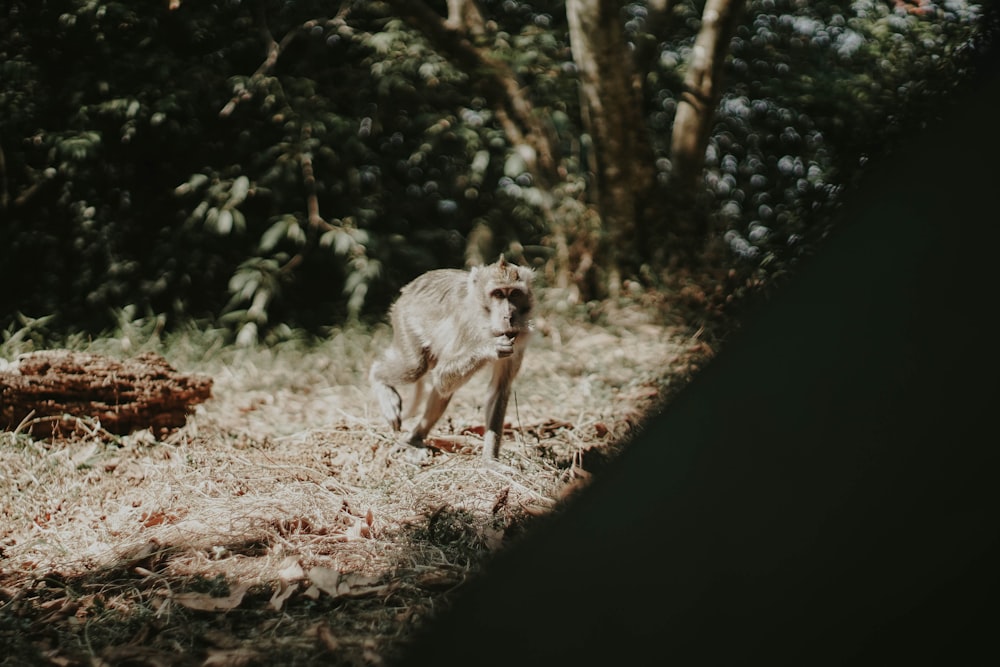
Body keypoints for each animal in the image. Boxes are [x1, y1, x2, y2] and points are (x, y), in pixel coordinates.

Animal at [374, 253, 536, 462]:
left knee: (439, 388)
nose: (509, 316)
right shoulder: (468, 326)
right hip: (405, 319)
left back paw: (415, 438)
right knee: (414, 367)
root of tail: (409, 288)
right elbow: (442, 376)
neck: (485, 317)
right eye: (498, 294)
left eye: (514, 294)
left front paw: (490, 460)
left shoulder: (517, 340)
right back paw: (379, 381)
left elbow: (498, 390)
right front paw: (489, 348)